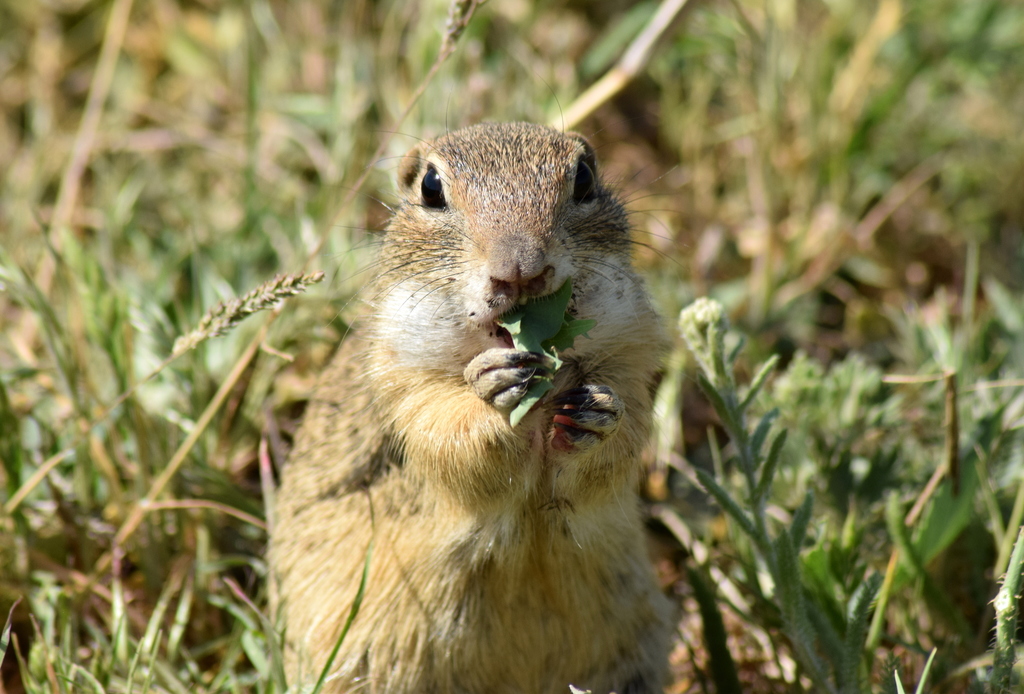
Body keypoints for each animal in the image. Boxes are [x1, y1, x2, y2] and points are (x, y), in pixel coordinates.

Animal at [270, 122, 672, 694]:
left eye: (585, 178)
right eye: (431, 187)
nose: (520, 269)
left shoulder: (633, 362)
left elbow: (622, 439)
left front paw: (597, 413)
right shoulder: (404, 386)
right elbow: (451, 440)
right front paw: (495, 388)